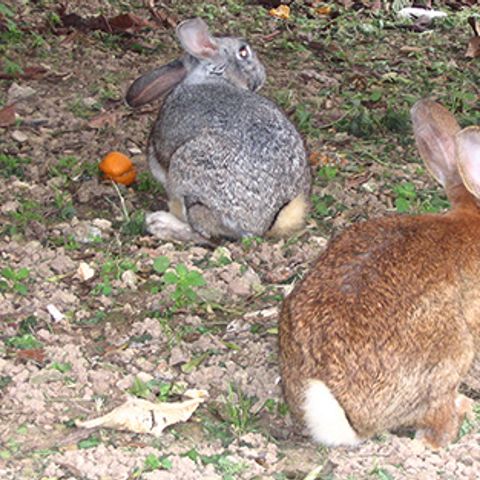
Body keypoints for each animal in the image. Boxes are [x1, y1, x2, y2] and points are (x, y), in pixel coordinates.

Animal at [125, 17, 312, 244]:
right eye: (243, 52)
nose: (262, 75)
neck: (214, 74)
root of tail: (268, 221)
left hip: (188, 171)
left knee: (207, 236)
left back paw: (158, 223)